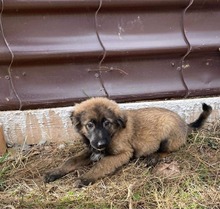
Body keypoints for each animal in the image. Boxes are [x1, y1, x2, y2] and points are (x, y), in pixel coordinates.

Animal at [43, 97, 212, 187]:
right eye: (89, 125)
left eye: (107, 123)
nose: (101, 144)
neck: (114, 133)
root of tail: (185, 124)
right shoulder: (92, 149)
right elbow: (71, 160)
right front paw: (54, 172)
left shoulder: (124, 153)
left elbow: (101, 164)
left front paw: (85, 178)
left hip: (167, 134)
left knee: (167, 151)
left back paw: (153, 157)